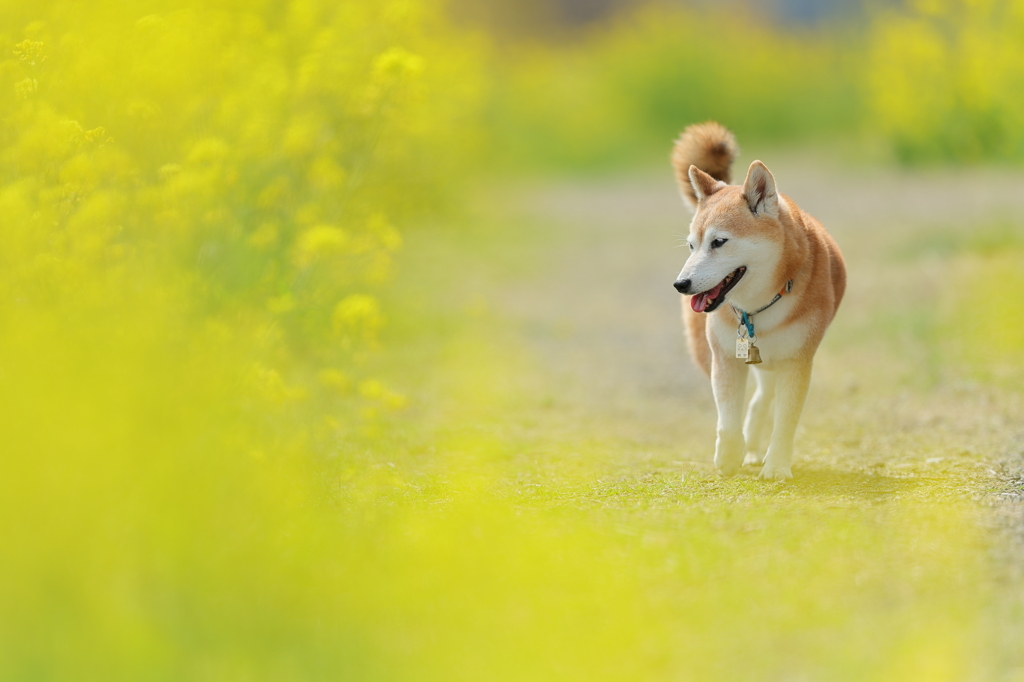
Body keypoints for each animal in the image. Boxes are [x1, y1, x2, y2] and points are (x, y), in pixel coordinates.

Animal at [667, 120, 843, 477]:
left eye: (719, 242)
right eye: (692, 246)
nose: (681, 284)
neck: (758, 306)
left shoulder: (797, 361)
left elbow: (785, 422)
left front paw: (776, 466)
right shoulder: (725, 357)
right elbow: (727, 415)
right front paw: (729, 454)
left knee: (763, 398)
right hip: (714, 352)